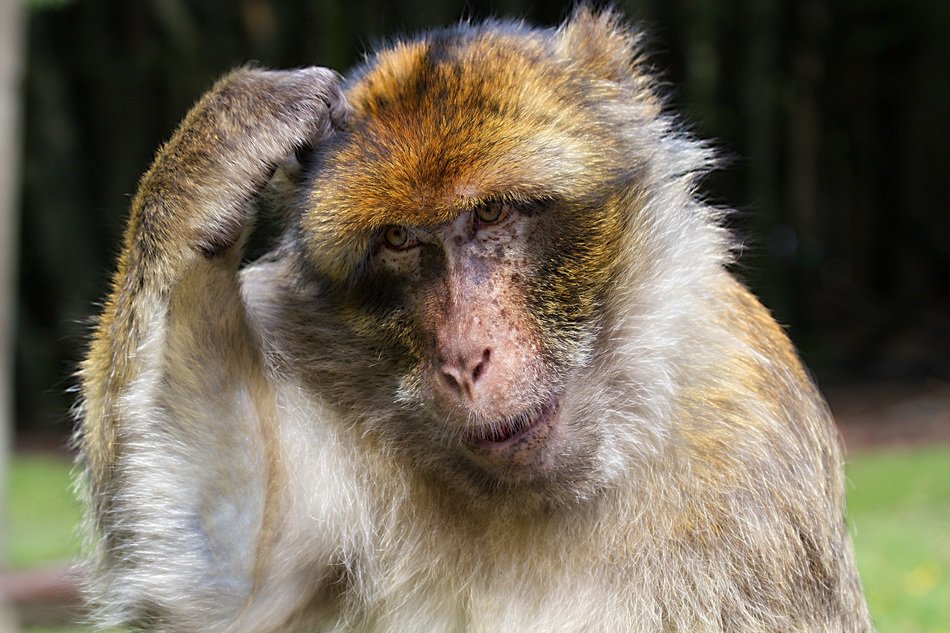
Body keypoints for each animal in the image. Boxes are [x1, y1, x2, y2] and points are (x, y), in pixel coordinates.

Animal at [77, 8, 873, 632]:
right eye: (400, 240)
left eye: (491, 213)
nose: (464, 357)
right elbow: (221, 575)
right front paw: (221, 146)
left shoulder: (745, 439)